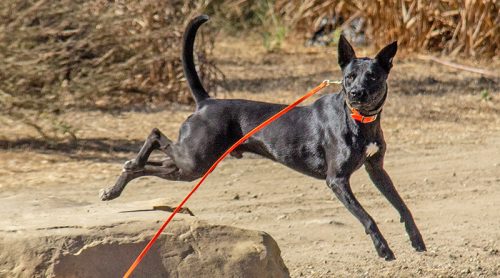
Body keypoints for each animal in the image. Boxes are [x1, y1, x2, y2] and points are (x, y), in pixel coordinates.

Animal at [100, 15, 426, 260]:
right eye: (348, 78)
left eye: (373, 76)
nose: (356, 93)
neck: (360, 120)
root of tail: (206, 102)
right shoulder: (336, 180)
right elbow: (367, 217)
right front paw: (384, 250)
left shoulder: (376, 169)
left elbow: (403, 206)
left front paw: (417, 240)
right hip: (194, 160)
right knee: (154, 135)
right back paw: (122, 175)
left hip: (187, 166)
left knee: (146, 164)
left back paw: (115, 188)